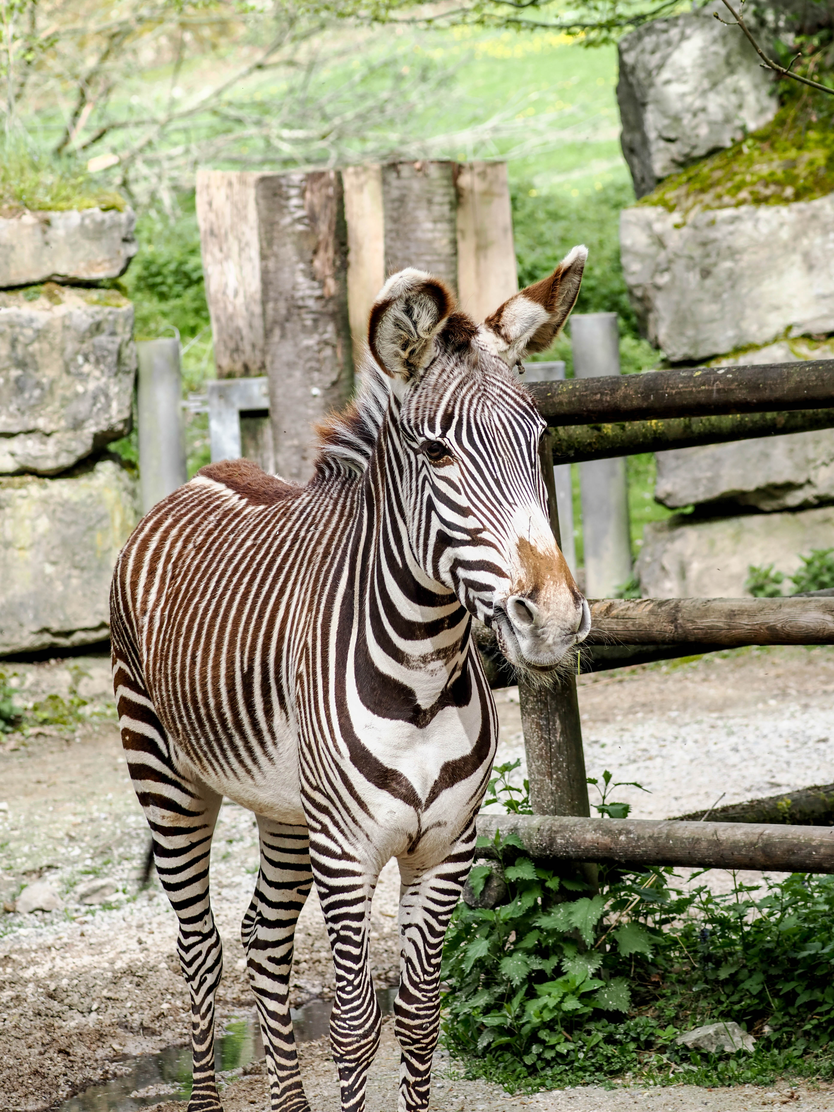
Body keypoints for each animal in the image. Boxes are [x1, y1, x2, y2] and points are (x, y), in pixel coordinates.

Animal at [111, 250, 591, 1112]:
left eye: (539, 438)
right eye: (437, 454)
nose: (556, 621)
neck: (424, 678)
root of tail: (200, 475)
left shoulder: (446, 849)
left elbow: (420, 1017)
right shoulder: (346, 854)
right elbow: (353, 1024)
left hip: (284, 807)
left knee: (262, 937)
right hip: (165, 776)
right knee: (200, 946)